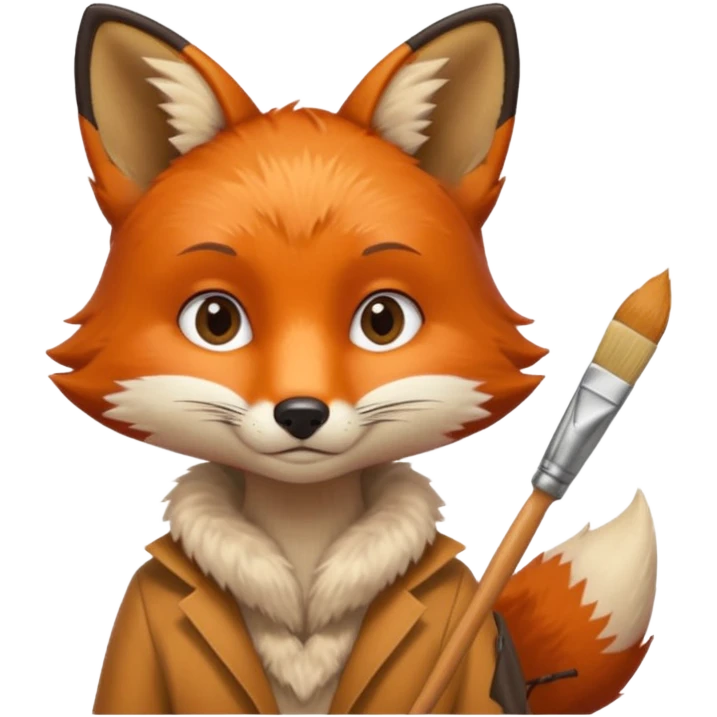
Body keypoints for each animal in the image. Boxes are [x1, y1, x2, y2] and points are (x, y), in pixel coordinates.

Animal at [52, 2, 658, 715]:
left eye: (382, 320)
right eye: (216, 320)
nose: (301, 413)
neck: (304, 535)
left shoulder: (464, 617)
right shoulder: (141, 617)